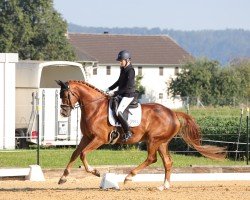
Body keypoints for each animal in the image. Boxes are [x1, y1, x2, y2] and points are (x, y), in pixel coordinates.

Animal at [56, 80, 227, 191]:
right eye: (60, 95)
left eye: (66, 95)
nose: (63, 113)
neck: (95, 107)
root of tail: (172, 112)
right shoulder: (86, 137)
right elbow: (75, 154)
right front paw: (63, 177)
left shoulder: (99, 139)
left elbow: (83, 154)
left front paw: (96, 172)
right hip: (162, 142)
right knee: (167, 162)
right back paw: (163, 186)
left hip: (153, 140)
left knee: (152, 158)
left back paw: (129, 176)